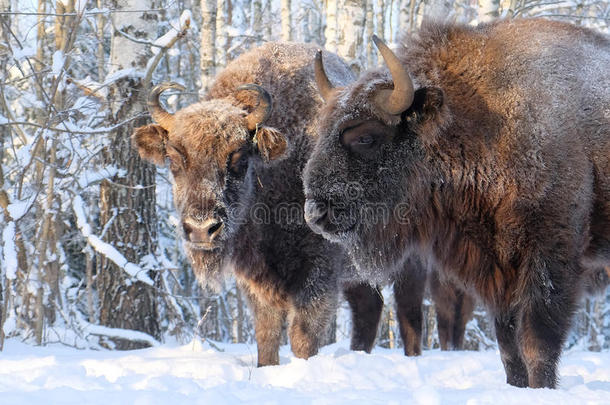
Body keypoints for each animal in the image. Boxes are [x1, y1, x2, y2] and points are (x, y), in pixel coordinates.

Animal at [304, 19, 608, 388]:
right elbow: (508, 348)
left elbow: (537, 343)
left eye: (365, 136)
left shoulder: (550, 260)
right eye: (321, 132)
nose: (315, 212)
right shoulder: (497, 271)